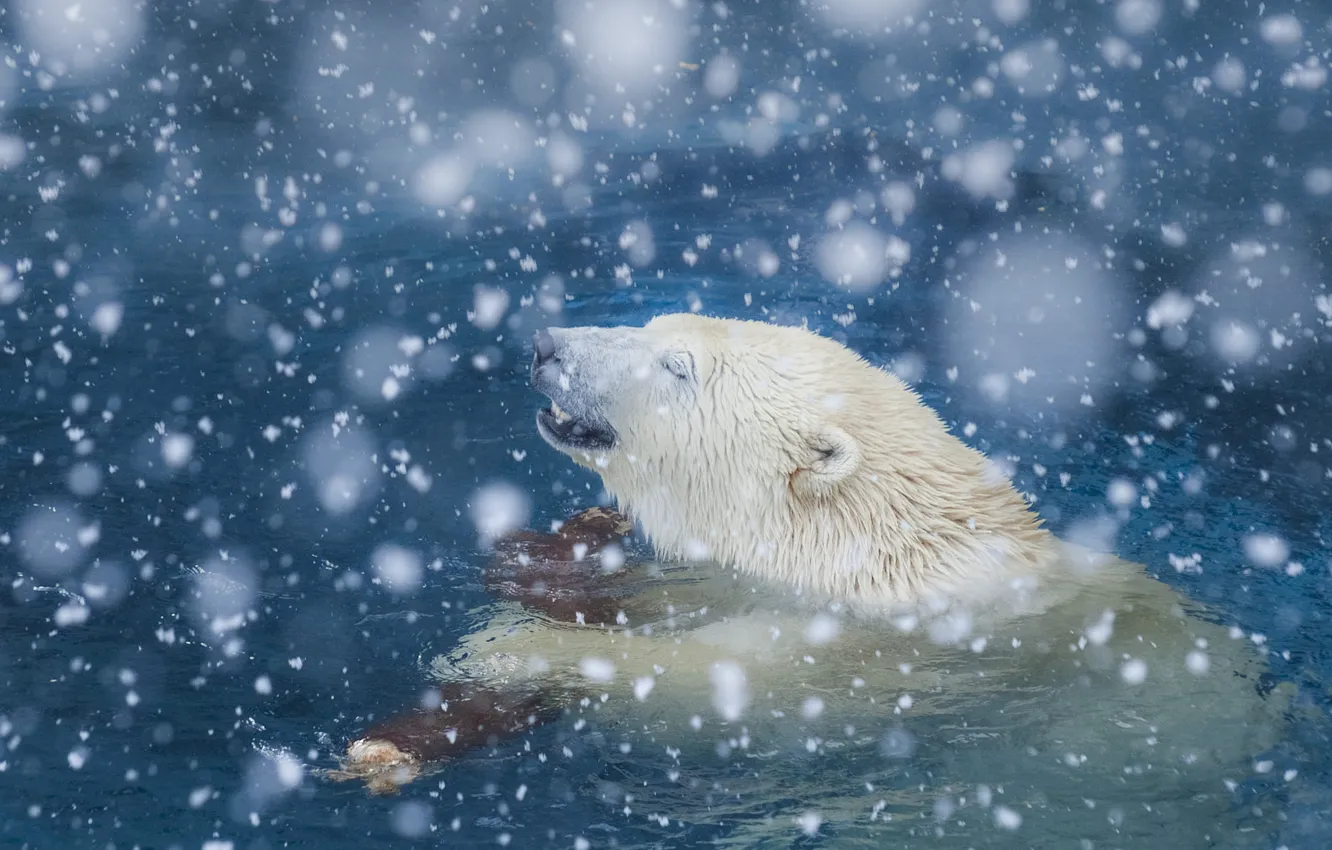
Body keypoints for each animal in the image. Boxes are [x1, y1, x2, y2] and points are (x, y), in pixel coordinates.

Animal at [330, 314, 1289, 846]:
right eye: (652, 325)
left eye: (677, 364)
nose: (545, 343)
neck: (867, 549)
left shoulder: (863, 651)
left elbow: (712, 688)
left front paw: (514, 649)